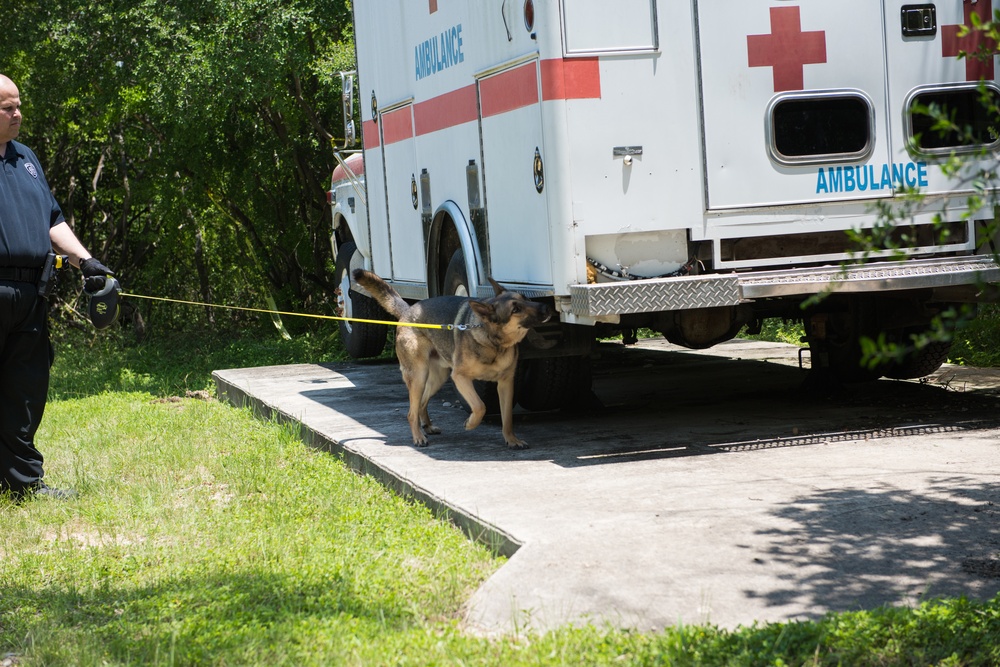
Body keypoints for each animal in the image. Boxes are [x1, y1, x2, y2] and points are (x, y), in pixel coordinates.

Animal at [352, 270, 556, 448]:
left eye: (525, 298)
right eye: (516, 309)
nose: (547, 307)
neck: (493, 341)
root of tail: (408, 312)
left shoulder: (506, 384)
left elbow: (507, 418)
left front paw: (512, 440)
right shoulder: (460, 378)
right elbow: (480, 406)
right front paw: (471, 423)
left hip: (437, 378)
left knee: (422, 404)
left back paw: (427, 427)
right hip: (419, 375)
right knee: (411, 412)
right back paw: (418, 436)